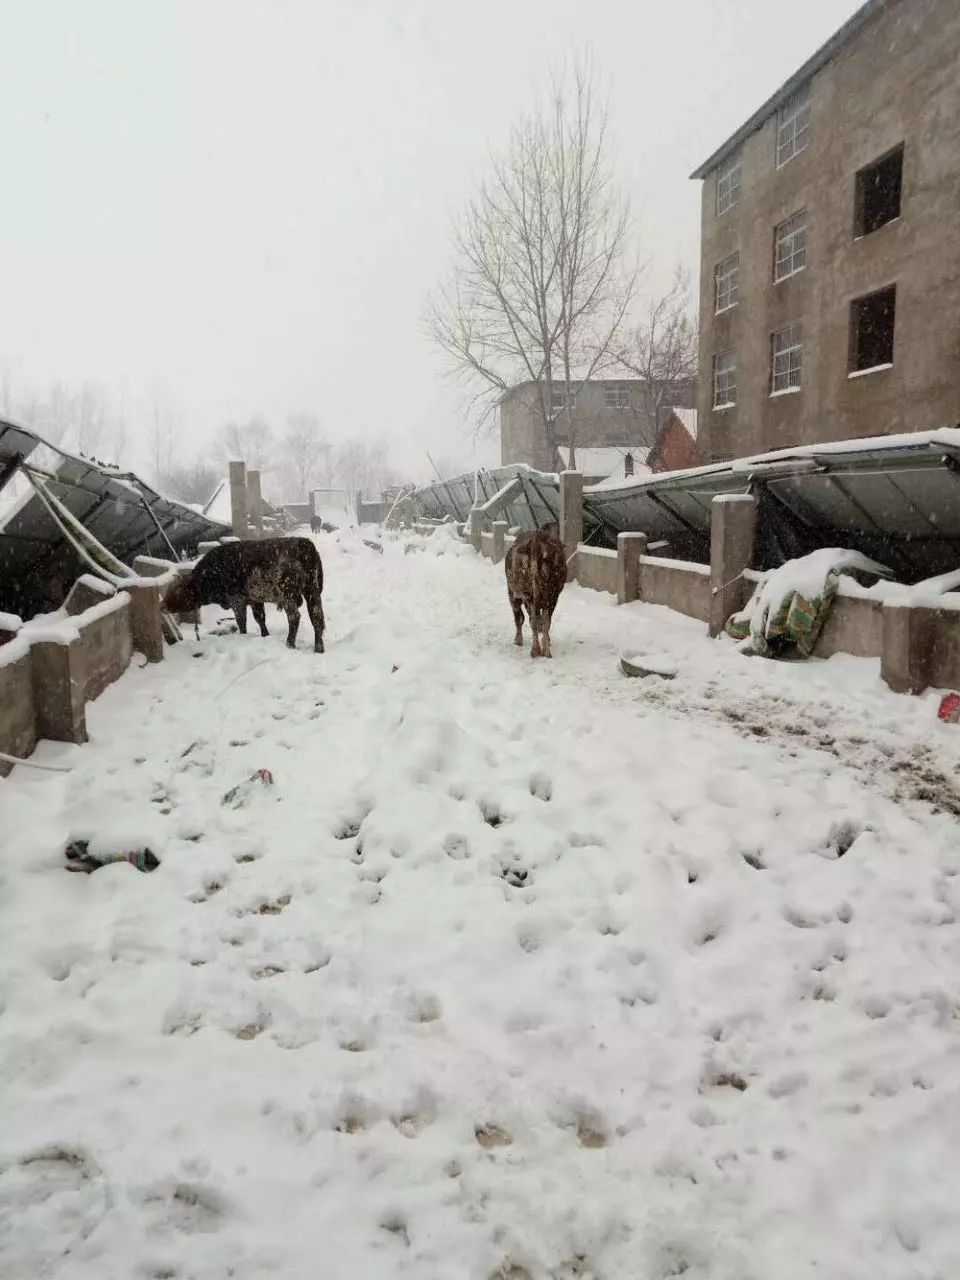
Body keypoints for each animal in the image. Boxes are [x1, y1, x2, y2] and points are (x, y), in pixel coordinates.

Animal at [165, 535, 327, 650]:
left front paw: (243, 636)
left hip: (288, 595)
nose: (163, 605)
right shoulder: (256, 600)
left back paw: (289, 644)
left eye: (178, 590)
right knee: (317, 618)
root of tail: (305, 544)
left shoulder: (237, 600)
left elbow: (241, 621)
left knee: (295, 617)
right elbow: (260, 619)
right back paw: (318, 649)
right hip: (313, 593)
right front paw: (264, 635)